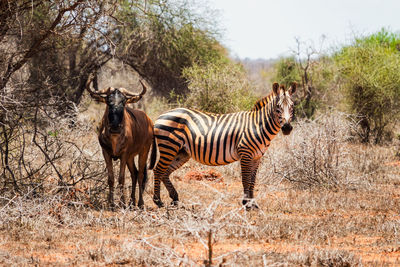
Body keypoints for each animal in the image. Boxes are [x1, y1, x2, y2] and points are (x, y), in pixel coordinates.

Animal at [152, 81, 296, 209]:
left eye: (292, 106)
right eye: (278, 107)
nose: (287, 128)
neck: (257, 125)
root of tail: (161, 115)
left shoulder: (257, 157)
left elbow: (252, 181)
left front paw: (253, 204)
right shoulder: (245, 153)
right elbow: (246, 180)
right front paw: (246, 203)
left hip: (181, 152)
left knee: (165, 172)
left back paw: (175, 198)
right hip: (169, 147)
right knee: (158, 170)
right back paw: (158, 201)